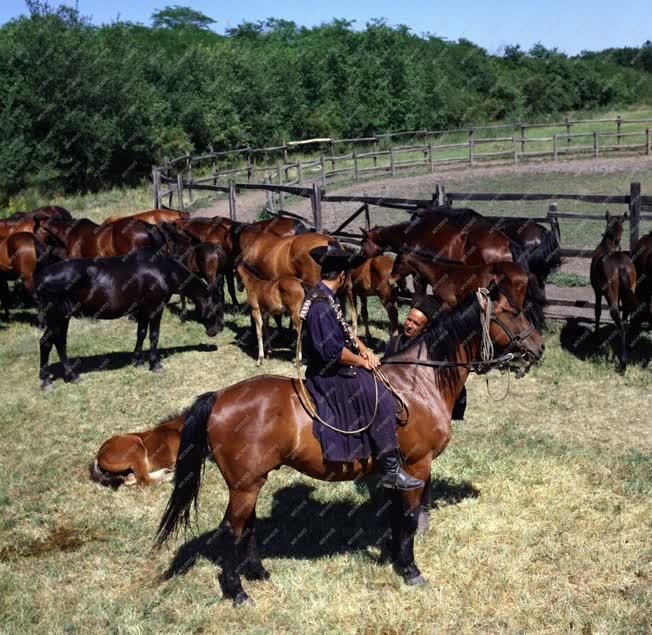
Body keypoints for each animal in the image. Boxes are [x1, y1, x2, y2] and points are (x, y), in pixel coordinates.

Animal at [33, 250, 224, 390]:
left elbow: (141, 333)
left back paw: (60, 377)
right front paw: (155, 364)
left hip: (61, 317)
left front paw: (138, 360)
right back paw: (55, 379)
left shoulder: (143, 309)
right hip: (58, 316)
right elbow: (154, 335)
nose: (218, 329)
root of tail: (39, 278)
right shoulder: (156, 307)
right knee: (49, 343)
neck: (162, 269)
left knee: (55, 343)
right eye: (217, 307)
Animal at [155, 288, 544, 608]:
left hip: (250, 482)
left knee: (246, 526)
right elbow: (408, 518)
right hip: (244, 485)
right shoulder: (417, 465)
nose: (538, 347)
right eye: (512, 312)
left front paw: (395, 558)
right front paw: (411, 569)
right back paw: (237, 592)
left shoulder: (398, 473)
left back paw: (258, 572)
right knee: (231, 531)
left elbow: (394, 516)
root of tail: (219, 398)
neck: (418, 383)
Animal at [588, 211, 640, 368]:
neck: (607, 246)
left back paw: (623, 360)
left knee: (619, 320)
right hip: (629, 292)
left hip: (611, 295)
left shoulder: (597, 291)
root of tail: (621, 266)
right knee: (625, 319)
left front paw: (596, 337)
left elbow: (597, 311)